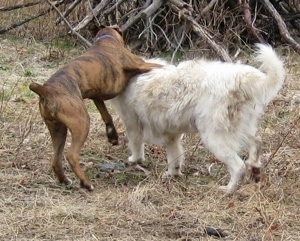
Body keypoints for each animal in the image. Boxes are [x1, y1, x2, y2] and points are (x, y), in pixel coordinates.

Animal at [29, 25, 162, 191]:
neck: (105, 39)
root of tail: (45, 90)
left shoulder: (96, 97)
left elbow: (106, 115)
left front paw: (112, 135)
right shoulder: (140, 64)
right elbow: (158, 65)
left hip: (57, 130)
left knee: (56, 160)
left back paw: (65, 181)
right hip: (81, 123)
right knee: (71, 155)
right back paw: (86, 183)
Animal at [111, 44, 284, 193]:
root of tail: (241, 79)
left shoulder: (132, 124)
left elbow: (136, 146)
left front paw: (134, 160)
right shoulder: (171, 135)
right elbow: (174, 157)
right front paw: (172, 175)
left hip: (213, 137)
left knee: (238, 167)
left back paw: (227, 190)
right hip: (238, 128)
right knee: (256, 142)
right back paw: (254, 167)